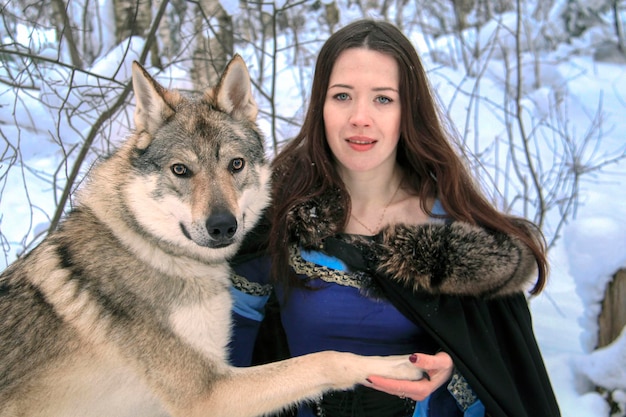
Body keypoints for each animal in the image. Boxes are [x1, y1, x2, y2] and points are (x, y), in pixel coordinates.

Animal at [0, 55, 422, 416]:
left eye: (235, 165)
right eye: (180, 170)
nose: (223, 225)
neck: (155, 249)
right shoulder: (209, 394)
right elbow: (328, 359)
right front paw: (398, 365)